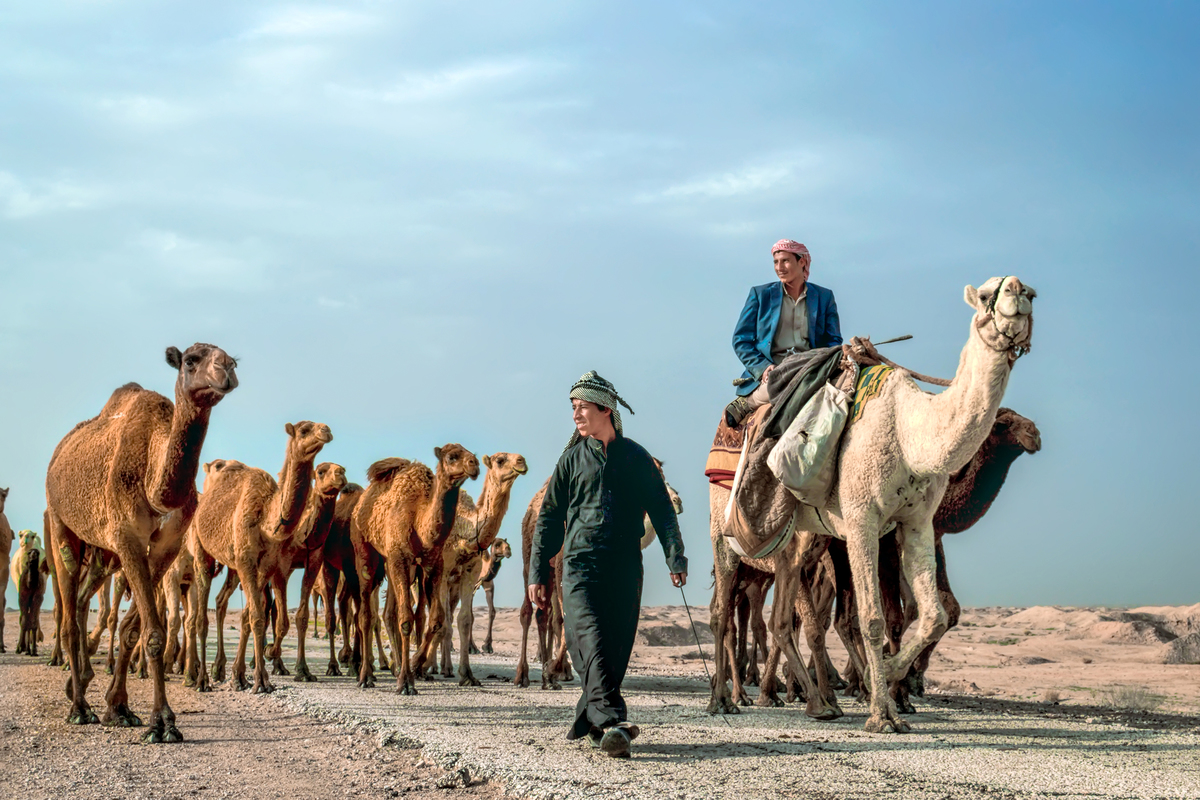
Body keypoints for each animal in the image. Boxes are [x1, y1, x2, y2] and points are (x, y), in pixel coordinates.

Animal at [44, 343, 238, 742]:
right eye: (191, 360)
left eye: (234, 360)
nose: (226, 369)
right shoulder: (127, 536)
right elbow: (152, 634)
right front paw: (162, 722)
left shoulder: (166, 545)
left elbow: (134, 630)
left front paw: (120, 708)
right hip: (59, 521)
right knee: (69, 609)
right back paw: (79, 708)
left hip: (101, 553)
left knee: (84, 600)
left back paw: (79, 687)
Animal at [186, 421, 332, 693]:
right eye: (304, 430)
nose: (326, 430)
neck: (267, 517)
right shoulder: (247, 561)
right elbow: (256, 617)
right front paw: (261, 681)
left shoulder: (266, 565)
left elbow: (254, 616)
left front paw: (242, 676)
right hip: (202, 550)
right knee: (200, 616)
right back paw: (200, 680)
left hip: (233, 566)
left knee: (221, 601)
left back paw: (219, 670)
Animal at [350, 445, 480, 693]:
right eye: (452, 456)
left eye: (472, 454)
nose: (475, 464)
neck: (420, 520)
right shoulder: (400, 558)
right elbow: (406, 619)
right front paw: (405, 682)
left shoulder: (434, 564)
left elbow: (436, 618)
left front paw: (415, 666)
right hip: (364, 551)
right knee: (365, 614)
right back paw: (365, 676)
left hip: (389, 561)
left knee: (386, 612)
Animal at [434, 453, 527, 685]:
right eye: (500, 460)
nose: (521, 461)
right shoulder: (444, 571)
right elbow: (445, 620)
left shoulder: (471, 573)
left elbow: (464, 619)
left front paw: (466, 674)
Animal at [711, 276, 1035, 733]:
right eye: (988, 294)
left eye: (1032, 294)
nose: (1018, 291)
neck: (909, 431)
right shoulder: (862, 519)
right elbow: (874, 618)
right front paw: (882, 710)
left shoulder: (915, 522)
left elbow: (935, 614)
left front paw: (894, 679)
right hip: (724, 528)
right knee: (723, 612)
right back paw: (725, 699)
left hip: (797, 543)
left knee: (780, 618)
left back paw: (818, 702)